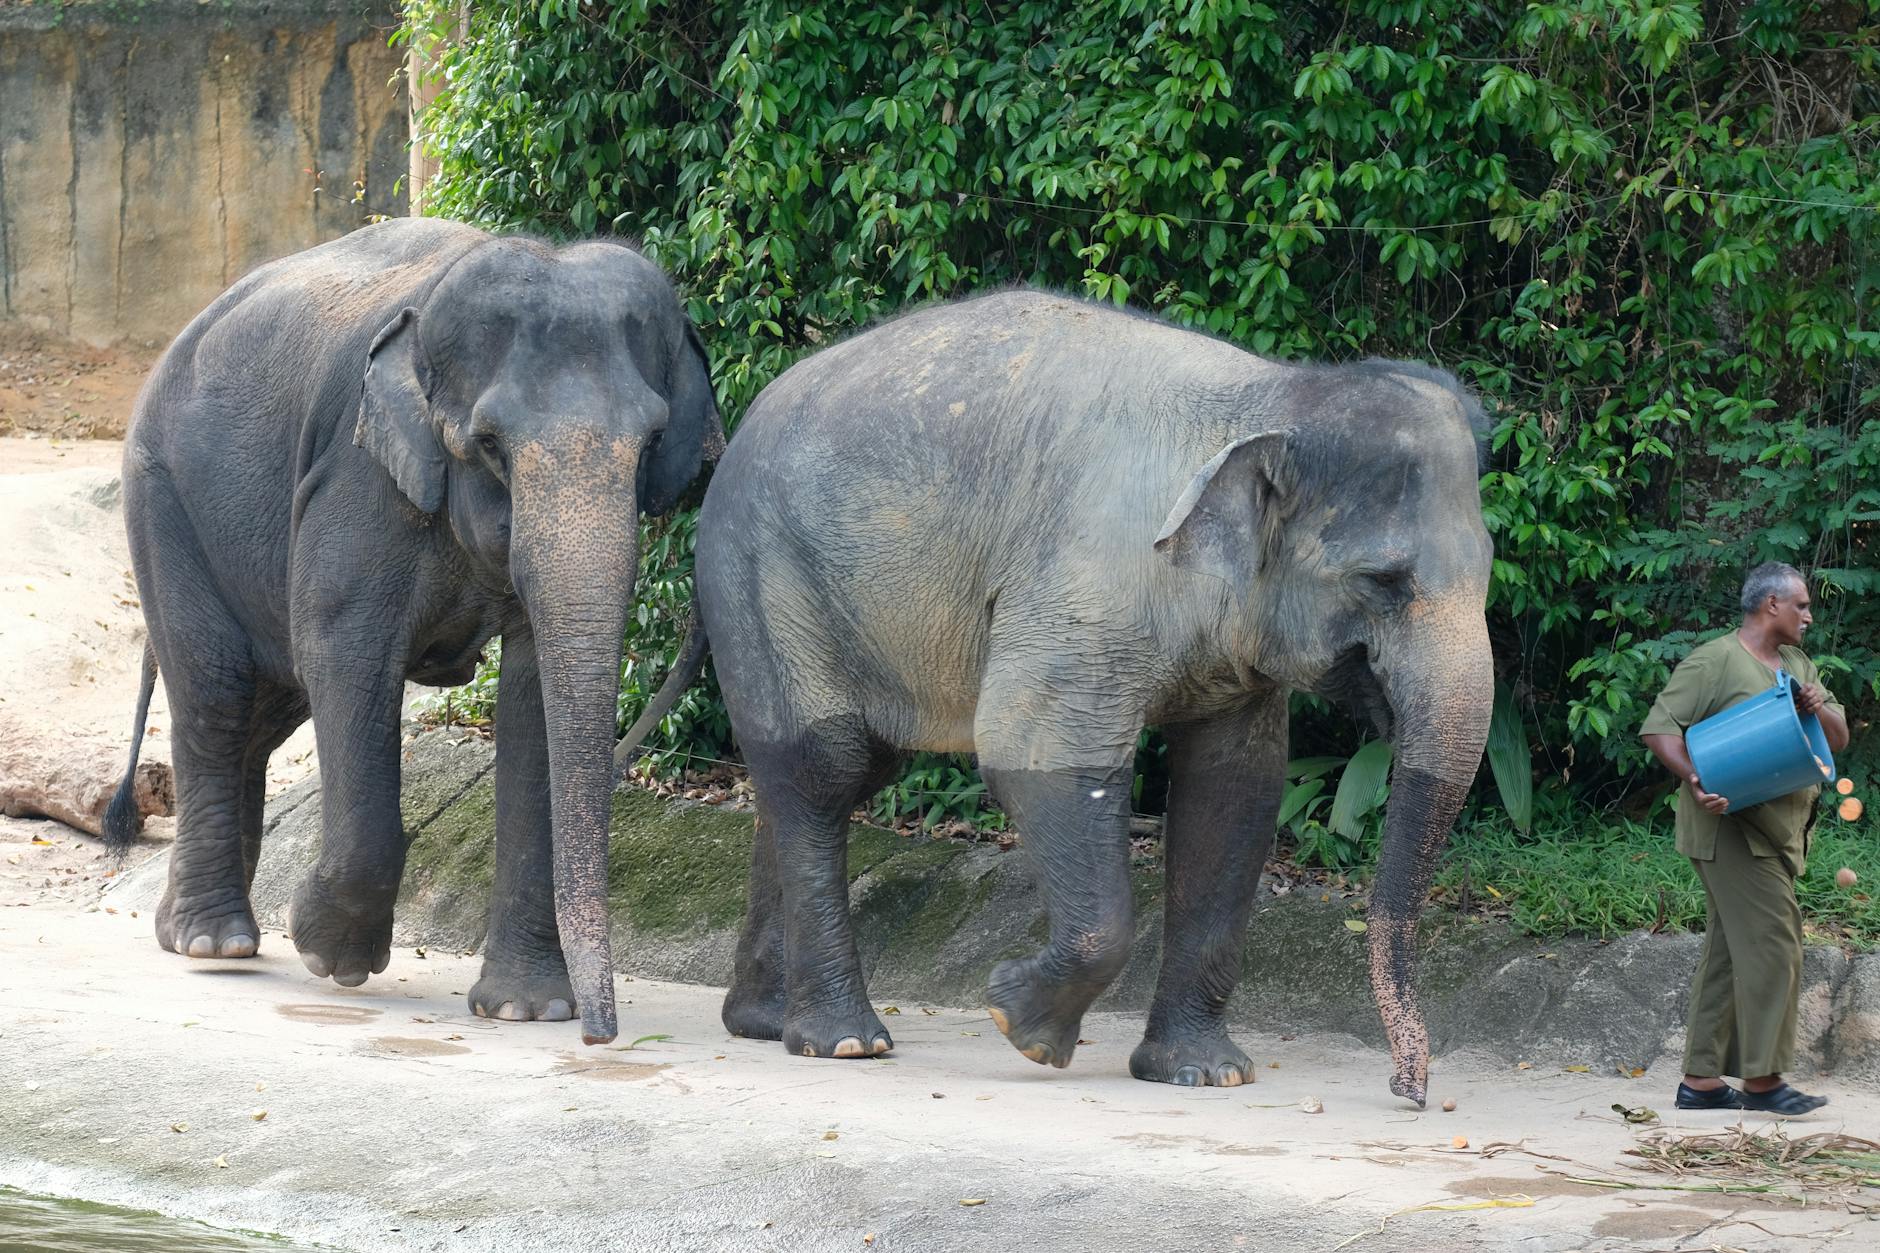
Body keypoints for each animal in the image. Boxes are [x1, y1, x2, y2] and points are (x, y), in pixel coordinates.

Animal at [102, 217, 722, 1047]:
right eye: (489, 443)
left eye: (651, 442)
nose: (601, 1034)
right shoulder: (359, 480)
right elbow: (343, 652)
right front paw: (331, 956)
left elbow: (533, 697)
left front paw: (526, 1009)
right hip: (161, 495)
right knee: (218, 695)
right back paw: (213, 942)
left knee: (262, 714)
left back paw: (197, 928)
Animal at [623, 289, 1491, 1105]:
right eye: (1383, 580)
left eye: (1489, 565)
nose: (1408, 1089)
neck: (1266, 395)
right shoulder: (1081, 587)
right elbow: (1031, 749)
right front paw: (1019, 1021)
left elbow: (1234, 790)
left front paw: (1207, 1075)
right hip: (765, 577)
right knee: (823, 769)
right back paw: (845, 1041)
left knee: (827, 776)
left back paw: (766, 1023)